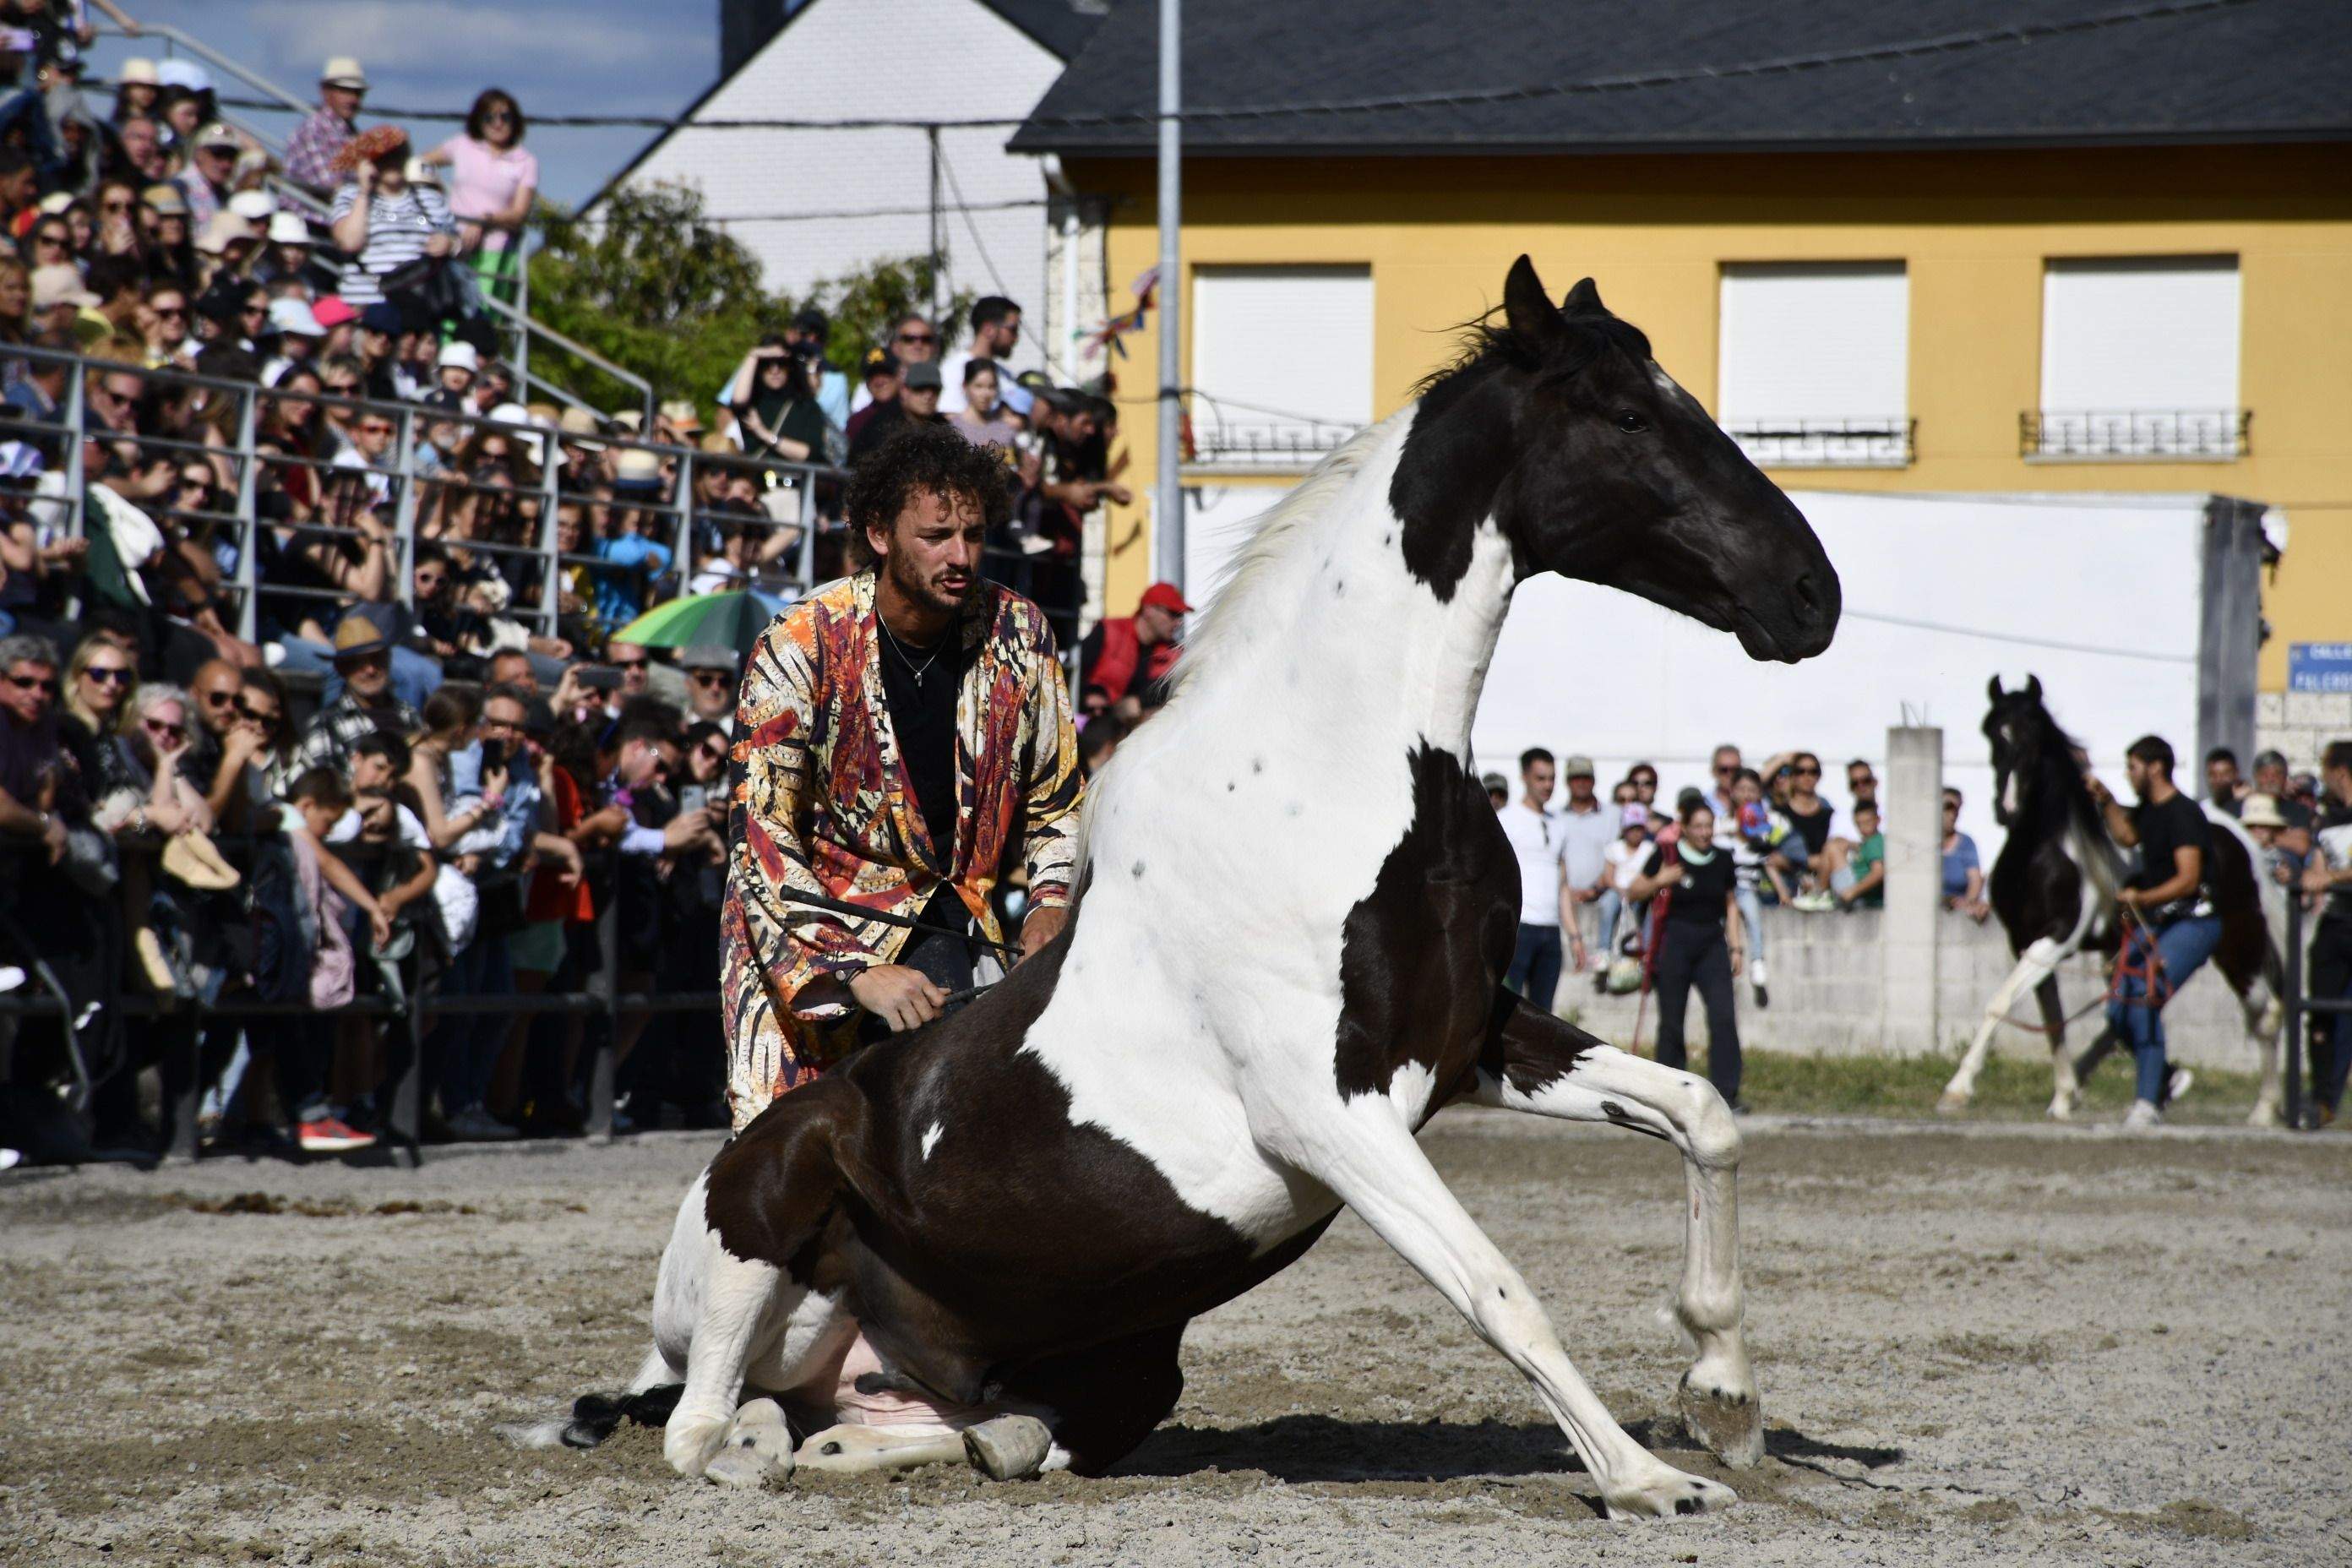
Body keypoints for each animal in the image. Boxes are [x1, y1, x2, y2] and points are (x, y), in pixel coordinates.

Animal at [564, 257, 1834, 1523]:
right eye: (1627, 418)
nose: (1811, 595)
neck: (1331, 774)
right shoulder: (1325, 1110)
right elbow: (1499, 1288)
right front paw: (1649, 1479)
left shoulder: (1472, 1043)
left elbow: (1701, 1112)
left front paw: (1726, 1401)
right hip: (764, 1210)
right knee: (703, 1426)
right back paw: (750, 1444)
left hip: (1106, 1372)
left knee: (965, 1432)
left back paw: (924, 1441)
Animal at [1928, 681, 2276, 1124]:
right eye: (1992, 733)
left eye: (2034, 737)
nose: (2006, 809)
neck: (2042, 854)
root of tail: (2233, 834)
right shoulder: (2026, 943)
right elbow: (2055, 1021)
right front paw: (2063, 1097)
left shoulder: (2056, 940)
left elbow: (2000, 1003)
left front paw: (1957, 1089)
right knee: (2133, 1011)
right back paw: (2155, 1084)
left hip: (2238, 947)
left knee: (2265, 1014)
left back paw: (2264, 1110)